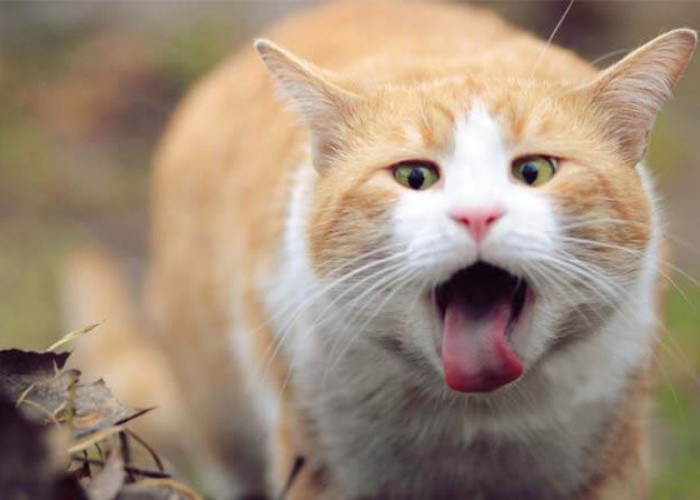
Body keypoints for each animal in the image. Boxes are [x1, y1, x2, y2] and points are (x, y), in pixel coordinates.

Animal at [63, 0, 696, 500]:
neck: (473, 423)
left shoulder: (612, 459)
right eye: (415, 176)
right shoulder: (315, 461)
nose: (477, 214)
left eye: (534, 171)